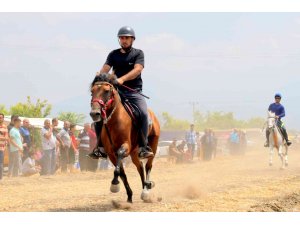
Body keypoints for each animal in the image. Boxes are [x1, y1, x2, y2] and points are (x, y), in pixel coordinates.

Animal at [88, 73, 159, 202]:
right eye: (92, 91)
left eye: (106, 91)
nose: (94, 113)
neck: (114, 121)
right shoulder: (111, 153)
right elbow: (121, 173)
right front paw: (129, 196)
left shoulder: (125, 146)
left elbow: (119, 165)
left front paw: (114, 184)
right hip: (134, 152)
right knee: (140, 167)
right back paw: (144, 187)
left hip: (153, 146)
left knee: (148, 166)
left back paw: (146, 191)